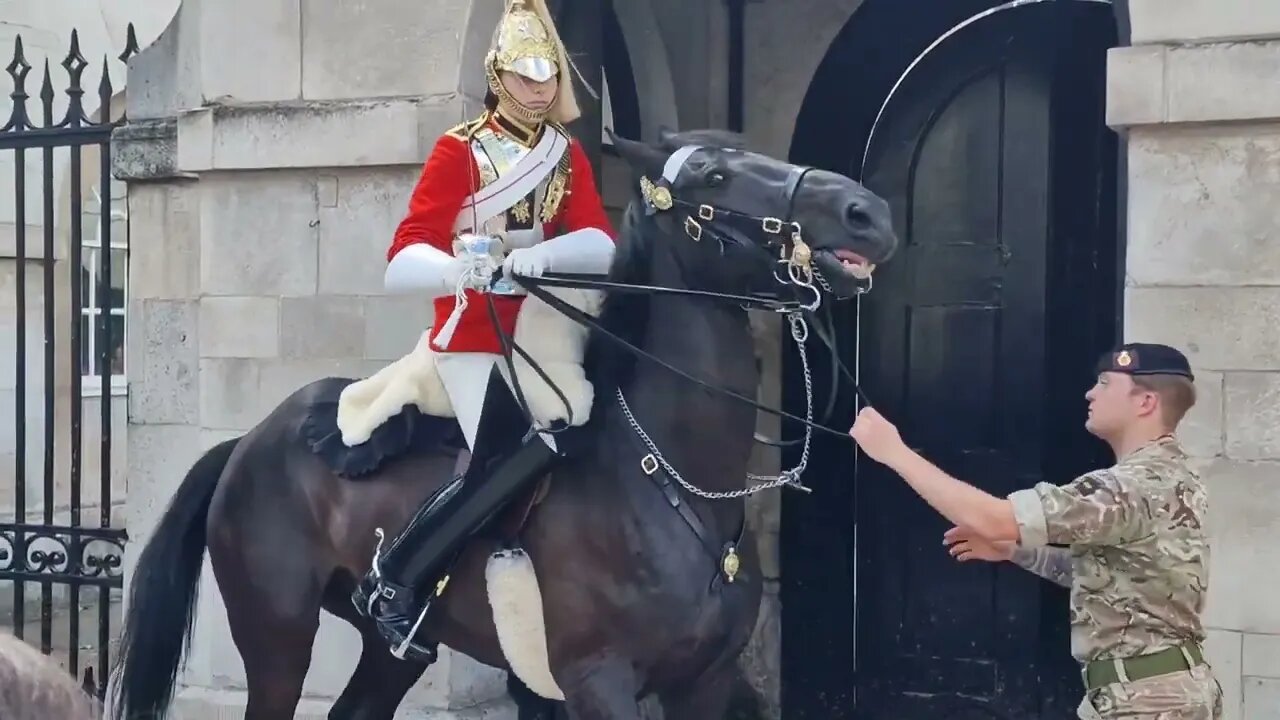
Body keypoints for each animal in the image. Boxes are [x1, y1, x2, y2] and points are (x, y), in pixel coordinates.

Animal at [104, 128, 896, 717]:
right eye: (712, 174)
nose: (869, 214)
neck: (678, 483)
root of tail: (249, 440)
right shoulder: (599, 681)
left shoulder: (704, 684)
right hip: (276, 635)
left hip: (389, 650)